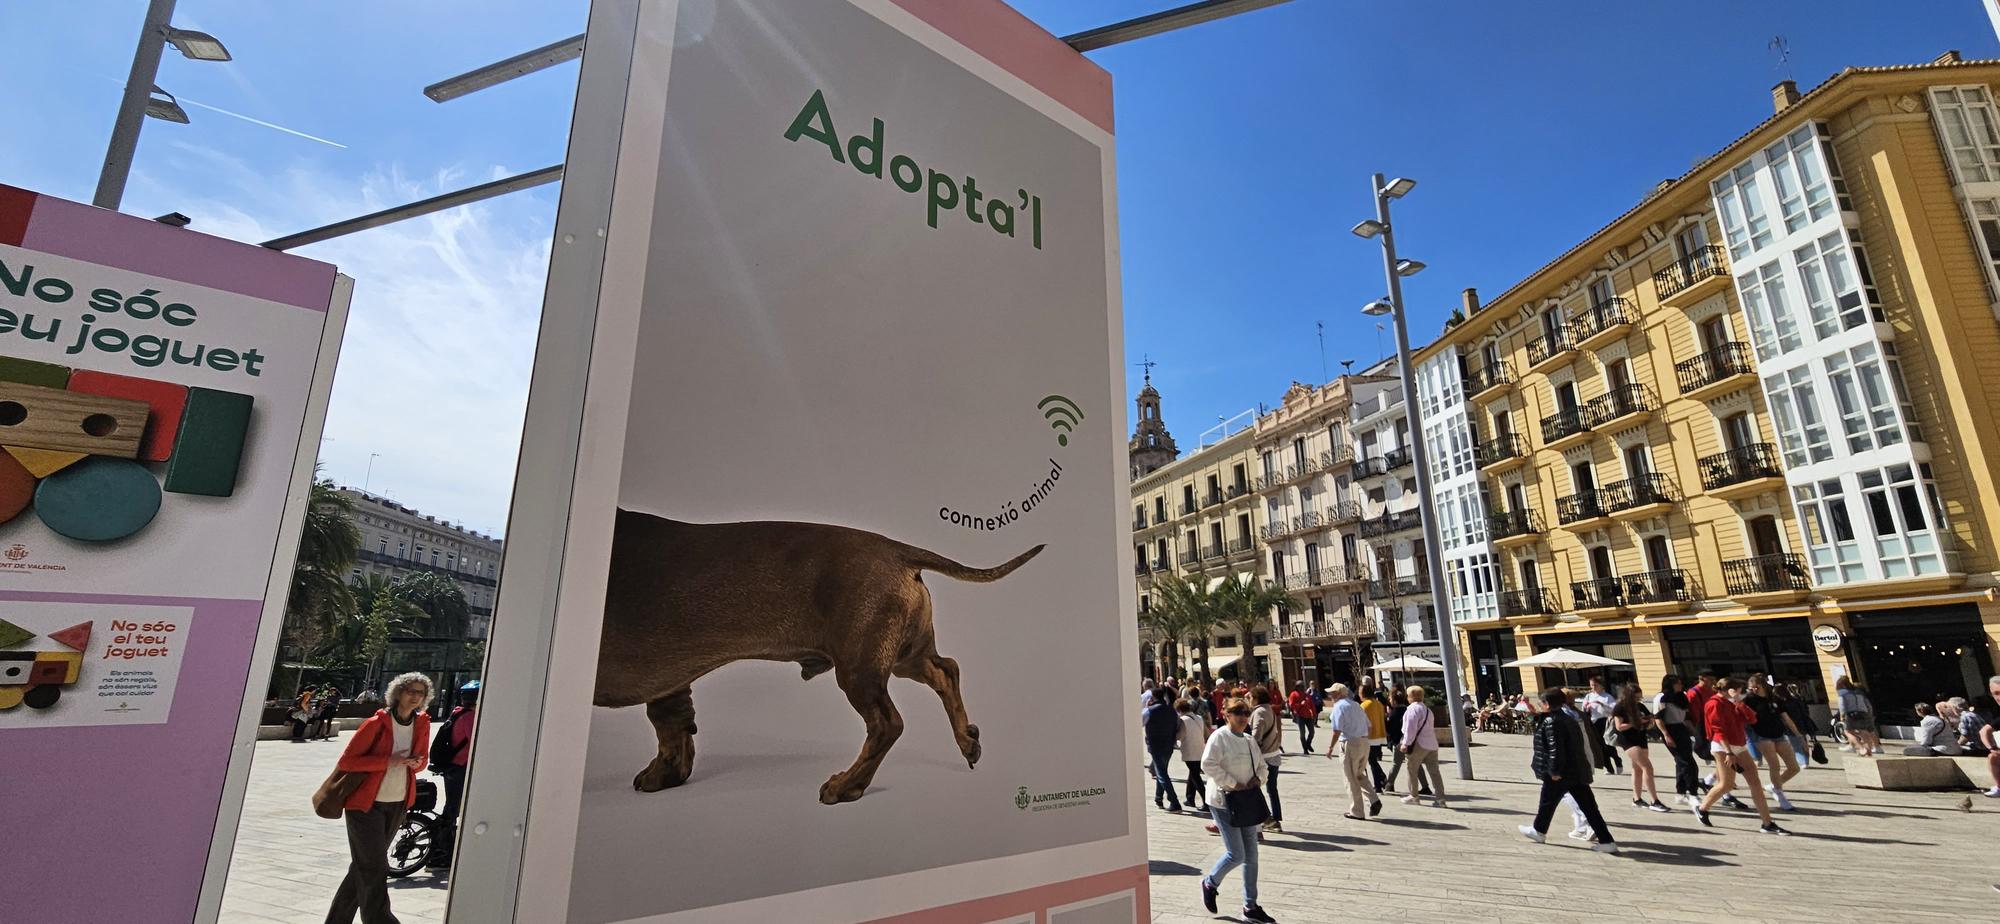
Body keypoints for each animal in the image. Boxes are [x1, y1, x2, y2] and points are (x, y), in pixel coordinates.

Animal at [592, 508, 1048, 804]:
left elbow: (669, 724)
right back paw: (967, 742)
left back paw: (846, 786)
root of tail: (898, 551)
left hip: (859, 667)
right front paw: (665, 774)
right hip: (906, 655)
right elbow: (671, 724)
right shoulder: (668, 679)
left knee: (889, 724)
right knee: (946, 671)